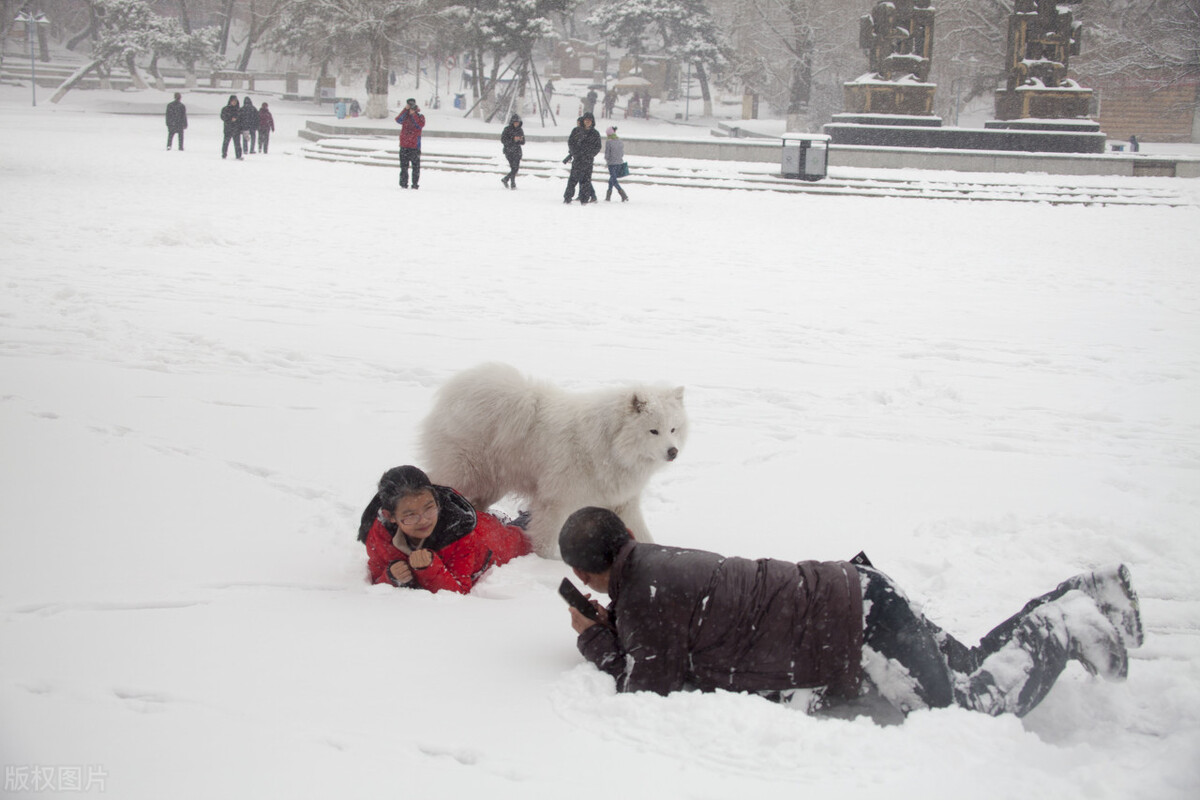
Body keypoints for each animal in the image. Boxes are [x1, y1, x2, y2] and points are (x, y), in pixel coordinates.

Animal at [420, 362, 686, 556]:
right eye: (653, 431)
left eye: (673, 429)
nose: (673, 452)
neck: (611, 446)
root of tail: (464, 386)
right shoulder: (556, 501)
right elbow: (547, 540)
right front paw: (548, 563)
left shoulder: (622, 502)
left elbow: (643, 534)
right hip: (465, 472)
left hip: (491, 484)